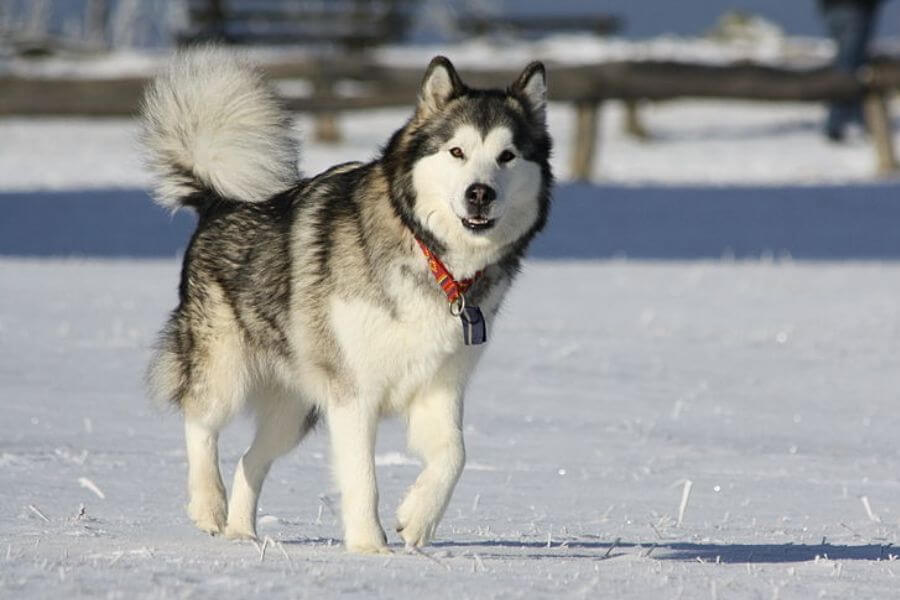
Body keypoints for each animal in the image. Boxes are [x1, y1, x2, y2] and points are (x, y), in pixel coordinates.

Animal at [142, 47, 548, 552]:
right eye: (457, 151)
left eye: (507, 156)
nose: (480, 193)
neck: (432, 257)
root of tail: (219, 201)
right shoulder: (354, 393)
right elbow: (362, 477)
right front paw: (370, 547)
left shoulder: (440, 386)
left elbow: (455, 454)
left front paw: (417, 520)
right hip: (225, 368)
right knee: (200, 421)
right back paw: (208, 505)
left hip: (296, 409)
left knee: (250, 460)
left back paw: (242, 533)